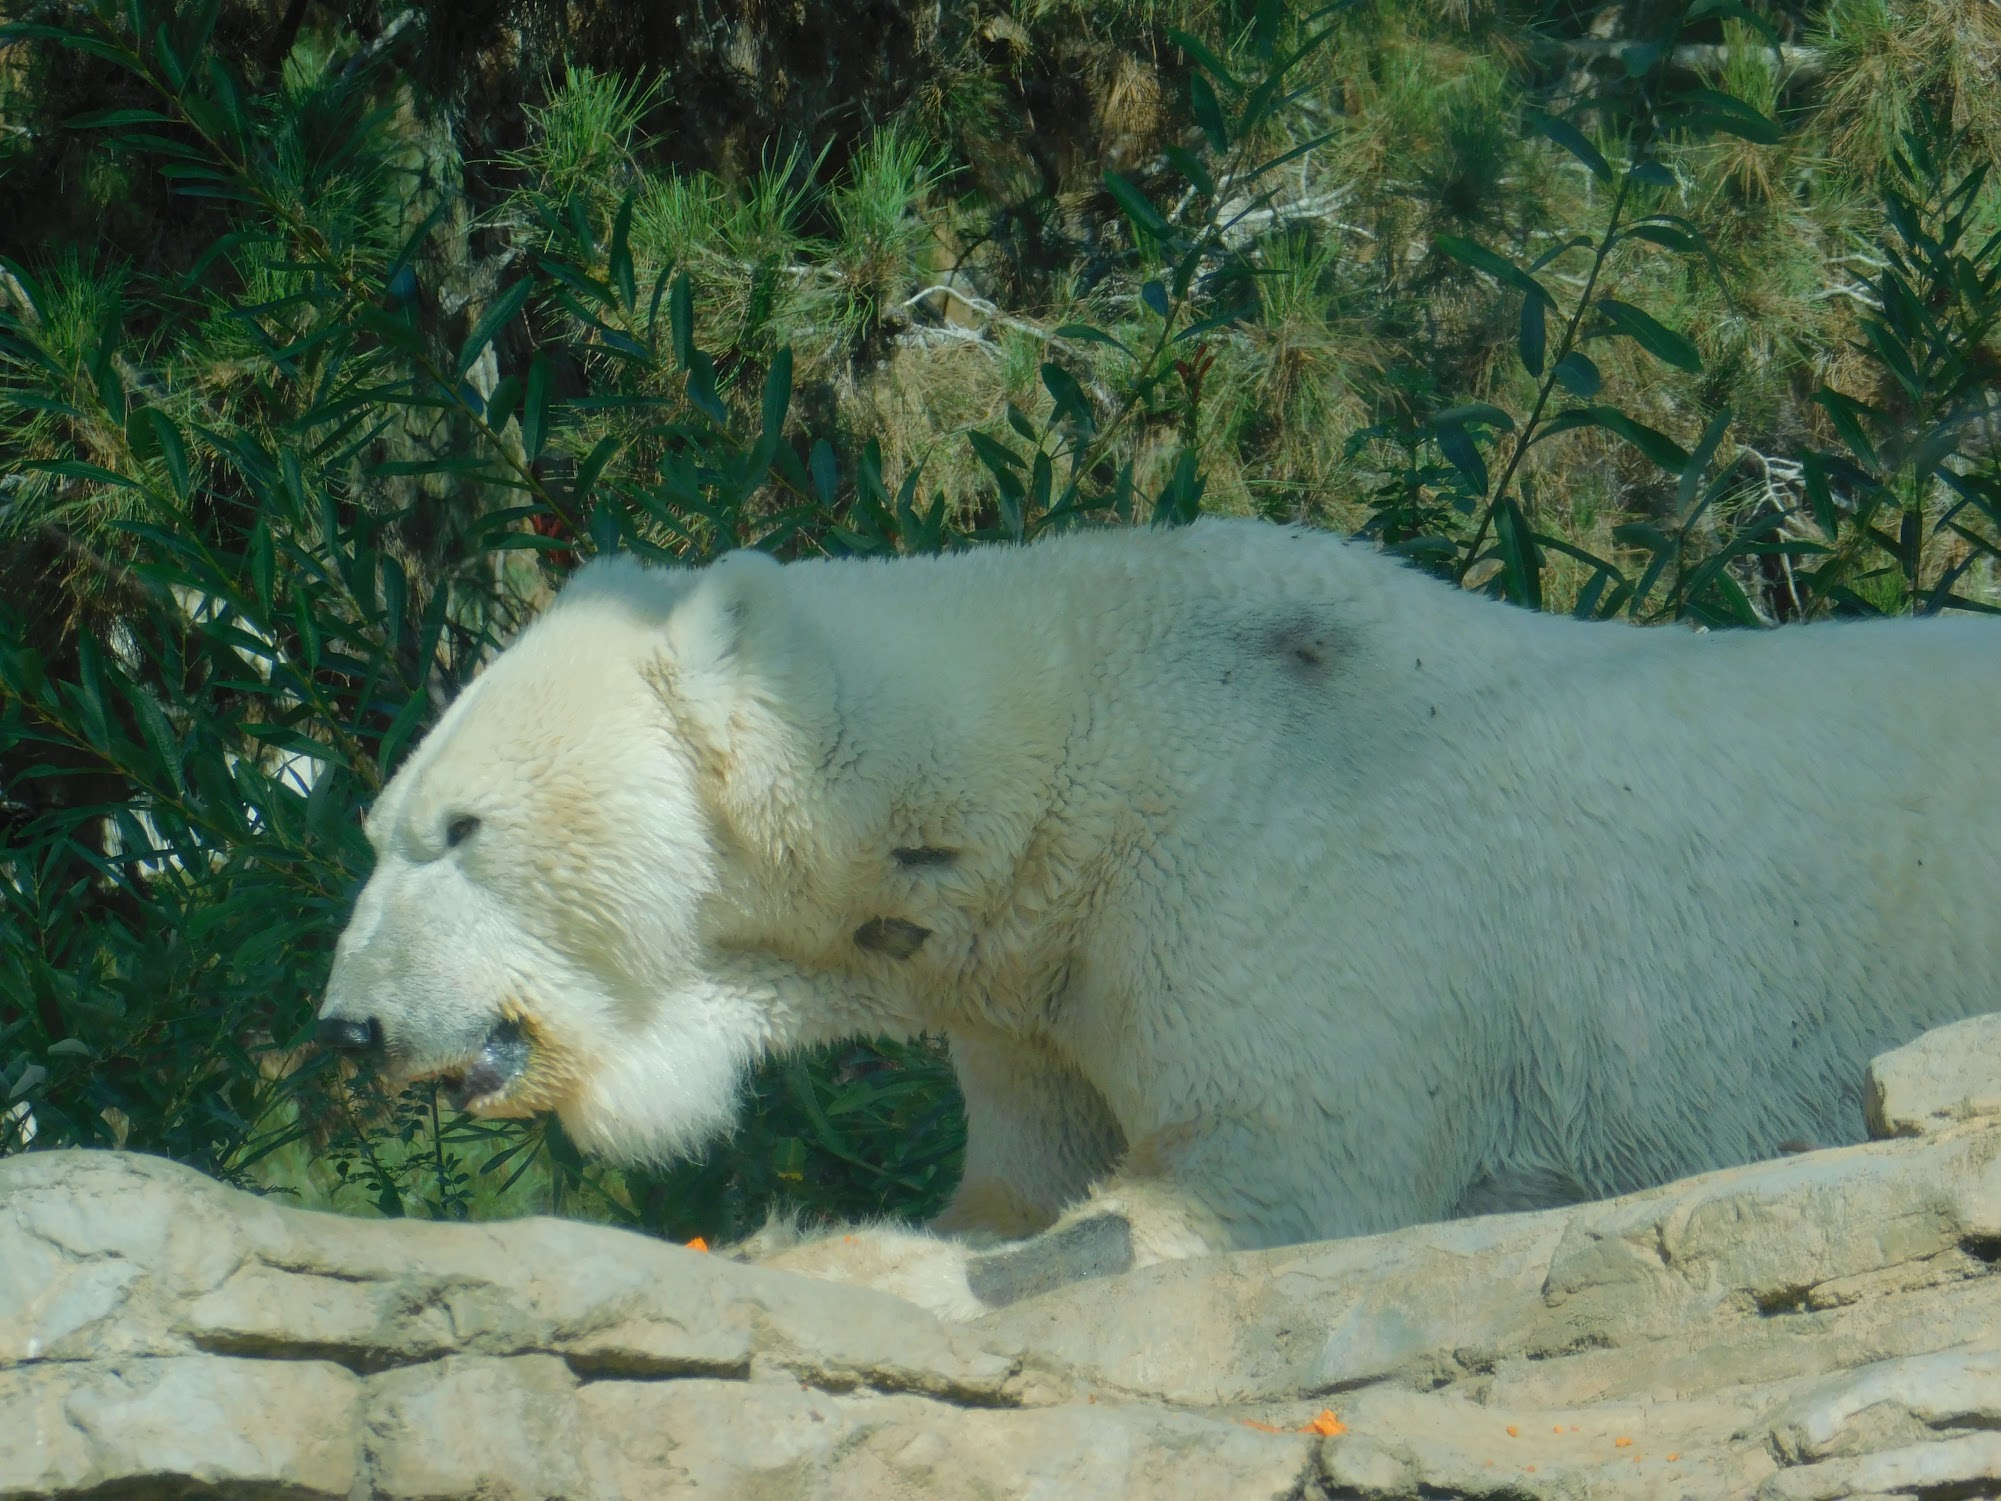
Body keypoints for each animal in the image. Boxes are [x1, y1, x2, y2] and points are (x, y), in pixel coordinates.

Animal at [318, 518, 2001, 1317]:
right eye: (384, 825)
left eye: (457, 830)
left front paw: (819, 1255)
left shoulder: (1292, 882)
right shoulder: (1036, 982)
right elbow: (1018, 1181)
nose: (347, 1025)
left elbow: (1247, 1182)